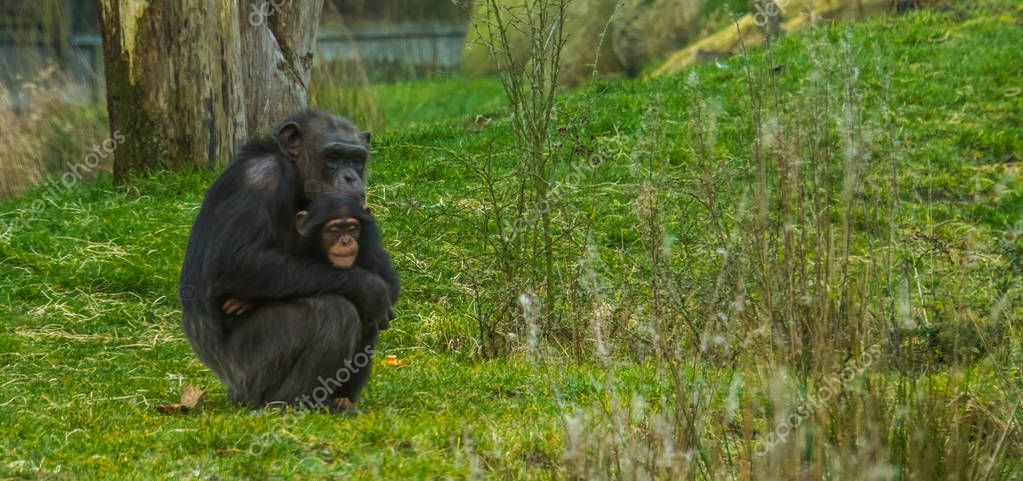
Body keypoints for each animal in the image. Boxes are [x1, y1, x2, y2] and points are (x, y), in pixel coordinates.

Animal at [179, 110, 390, 409]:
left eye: (356, 159)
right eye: (333, 157)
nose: (351, 177)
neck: (296, 176)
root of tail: (229, 388)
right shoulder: (259, 179)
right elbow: (235, 262)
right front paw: (369, 286)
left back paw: (340, 401)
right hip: (250, 372)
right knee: (334, 312)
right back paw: (294, 404)